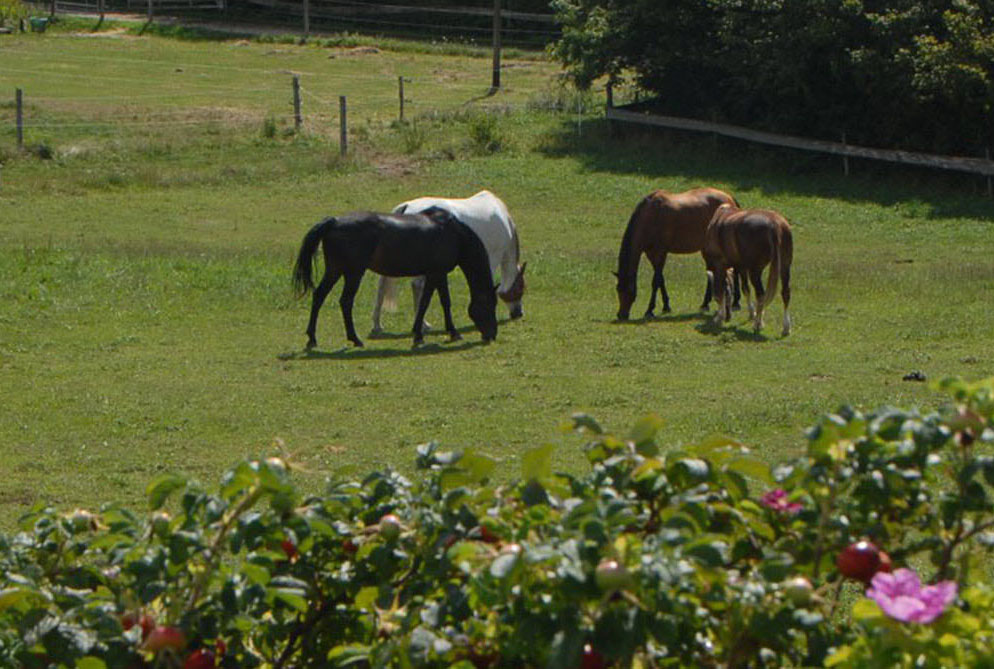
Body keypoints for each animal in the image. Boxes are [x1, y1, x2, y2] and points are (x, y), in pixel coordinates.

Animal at [292, 207, 498, 349]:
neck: (453, 234)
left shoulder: (438, 274)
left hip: (334, 270)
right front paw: (420, 335)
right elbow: (427, 302)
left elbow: (443, 302)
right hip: (353, 273)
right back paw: (355, 339)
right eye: (490, 305)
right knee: (345, 301)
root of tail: (334, 221)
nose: (492, 335)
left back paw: (312, 339)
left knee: (319, 296)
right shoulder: (435, 274)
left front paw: (450, 333)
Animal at [370, 190, 526, 336]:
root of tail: (406, 206)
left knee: (382, 286)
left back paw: (377, 325)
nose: (518, 313)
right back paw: (422, 324)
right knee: (416, 285)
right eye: (520, 288)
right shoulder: (491, 257)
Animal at [614, 187, 742, 321]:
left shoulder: (660, 253)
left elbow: (655, 281)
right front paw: (666, 306)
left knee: (735, 271)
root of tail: (729, 198)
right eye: (618, 289)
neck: (650, 216)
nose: (621, 315)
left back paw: (735, 303)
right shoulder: (651, 254)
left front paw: (650, 310)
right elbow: (661, 280)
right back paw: (705, 304)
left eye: (628, 291)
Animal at [703, 204, 793, 336]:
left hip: (755, 271)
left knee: (761, 295)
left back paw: (758, 324)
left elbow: (720, 291)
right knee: (785, 293)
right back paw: (785, 327)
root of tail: (774, 224)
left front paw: (719, 317)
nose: (728, 316)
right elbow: (745, 289)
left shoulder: (719, 265)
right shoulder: (742, 267)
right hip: (785, 266)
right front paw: (752, 313)